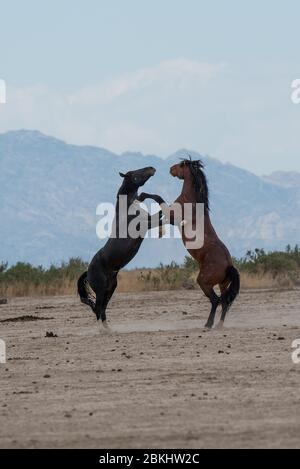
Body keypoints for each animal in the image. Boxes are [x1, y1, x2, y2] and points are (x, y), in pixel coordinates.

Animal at [77, 166, 162, 330]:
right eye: (135, 173)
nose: (151, 168)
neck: (128, 208)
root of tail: (88, 271)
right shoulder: (146, 223)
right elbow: (161, 216)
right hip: (101, 289)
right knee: (98, 307)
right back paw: (102, 330)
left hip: (110, 288)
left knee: (102, 308)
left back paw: (108, 329)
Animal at [138, 159, 239, 328]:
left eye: (181, 165)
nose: (170, 169)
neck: (191, 201)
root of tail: (228, 265)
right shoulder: (171, 218)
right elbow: (159, 217)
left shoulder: (173, 216)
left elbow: (158, 198)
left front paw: (141, 196)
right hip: (223, 284)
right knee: (225, 302)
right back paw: (219, 325)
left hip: (204, 281)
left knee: (215, 300)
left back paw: (208, 324)